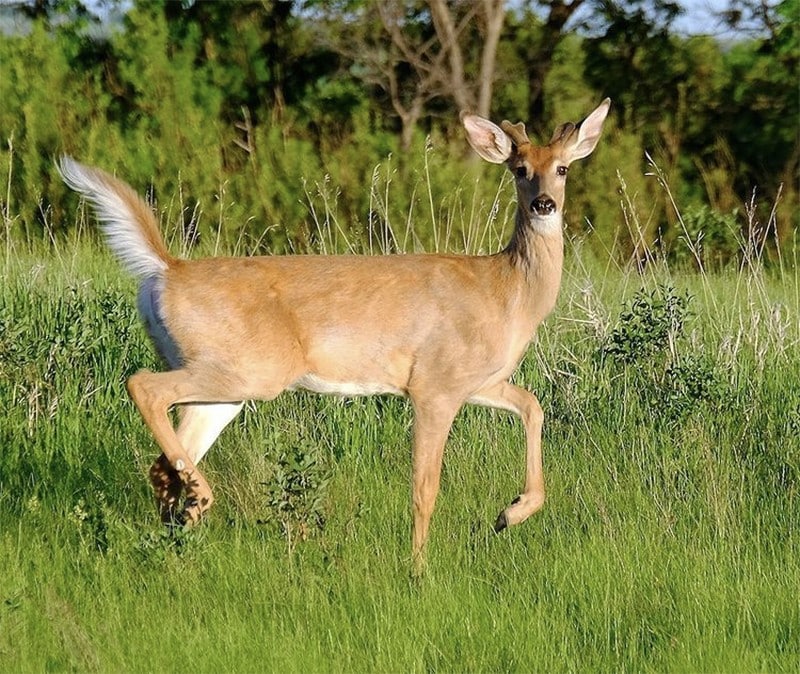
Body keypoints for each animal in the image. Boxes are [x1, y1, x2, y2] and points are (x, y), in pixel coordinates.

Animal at [58, 98, 610, 570]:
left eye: (562, 168)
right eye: (519, 169)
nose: (543, 204)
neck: (506, 291)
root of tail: (166, 270)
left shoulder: (478, 381)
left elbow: (533, 405)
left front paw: (509, 513)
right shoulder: (433, 383)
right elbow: (424, 487)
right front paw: (418, 571)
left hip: (224, 384)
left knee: (162, 462)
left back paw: (185, 523)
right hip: (248, 370)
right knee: (142, 386)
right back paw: (202, 500)